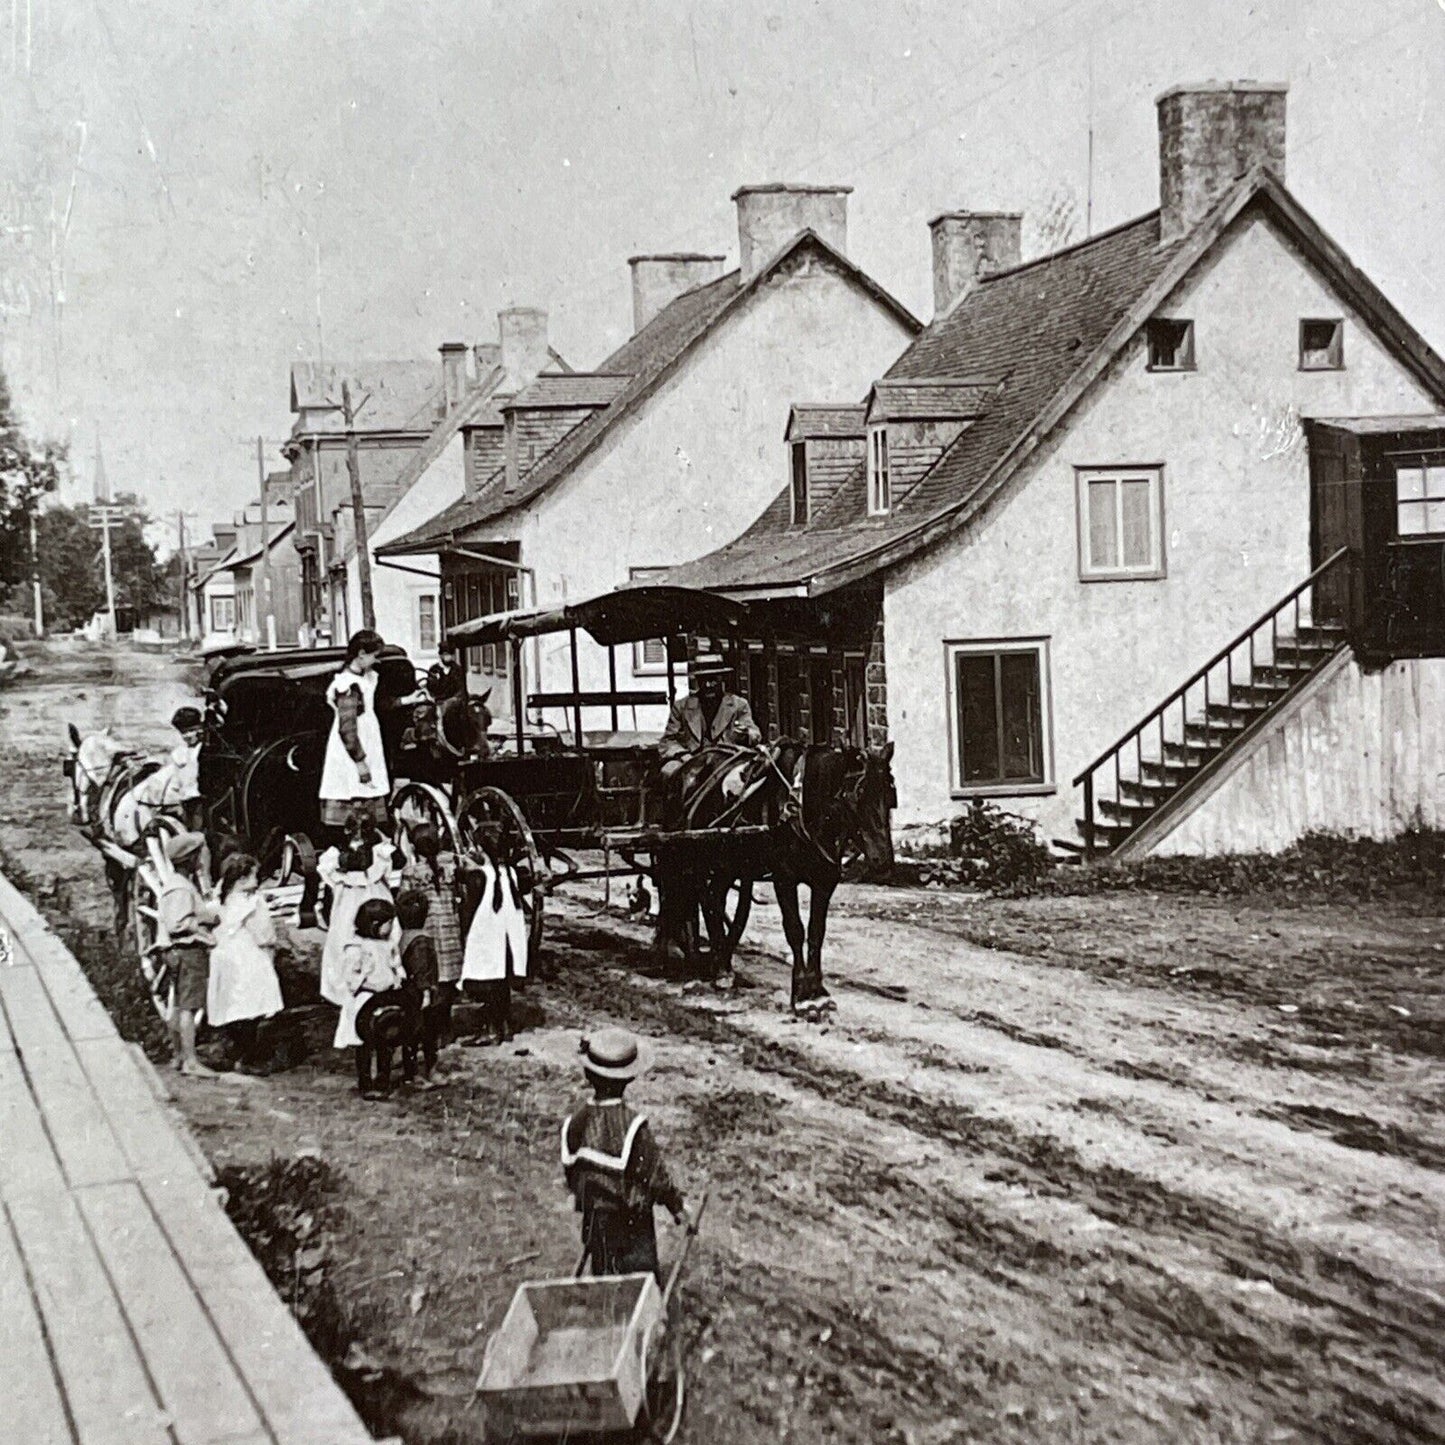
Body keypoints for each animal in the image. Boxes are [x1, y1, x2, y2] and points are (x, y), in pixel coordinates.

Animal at [653, 739, 890, 1011]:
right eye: (859, 792)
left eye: (890, 792)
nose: (883, 859)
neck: (800, 802)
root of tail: (685, 768)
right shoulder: (783, 878)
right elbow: (795, 930)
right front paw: (800, 992)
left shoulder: (824, 880)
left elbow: (816, 932)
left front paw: (818, 990)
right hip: (685, 855)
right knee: (677, 895)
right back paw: (673, 953)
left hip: (725, 863)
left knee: (712, 899)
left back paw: (721, 966)